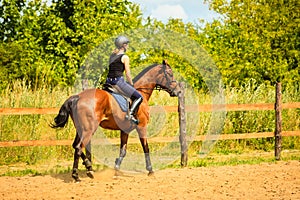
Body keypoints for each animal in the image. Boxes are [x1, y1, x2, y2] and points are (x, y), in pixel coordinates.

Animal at [50, 59, 180, 181]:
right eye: (170, 74)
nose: (178, 91)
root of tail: (77, 97)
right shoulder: (141, 127)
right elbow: (146, 148)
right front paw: (150, 171)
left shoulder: (125, 130)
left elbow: (123, 150)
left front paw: (116, 169)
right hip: (89, 129)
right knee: (78, 147)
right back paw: (78, 174)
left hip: (80, 129)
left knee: (75, 146)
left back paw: (87, 168)